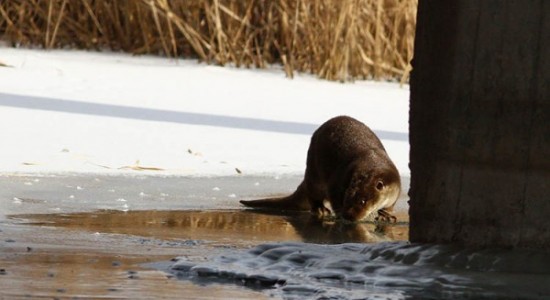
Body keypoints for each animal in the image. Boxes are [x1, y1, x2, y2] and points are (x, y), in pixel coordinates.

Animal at [240, 115, 402, 223]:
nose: (349, 216)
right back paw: (320, 209)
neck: (373, 159)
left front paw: (386, 215)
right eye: (346, 197)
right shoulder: (338, 181)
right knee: (314, 194)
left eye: (363, 201)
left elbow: (390, 206)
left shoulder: (396, 189)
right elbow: (334, 197)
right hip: (314, 172)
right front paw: (339, 214)